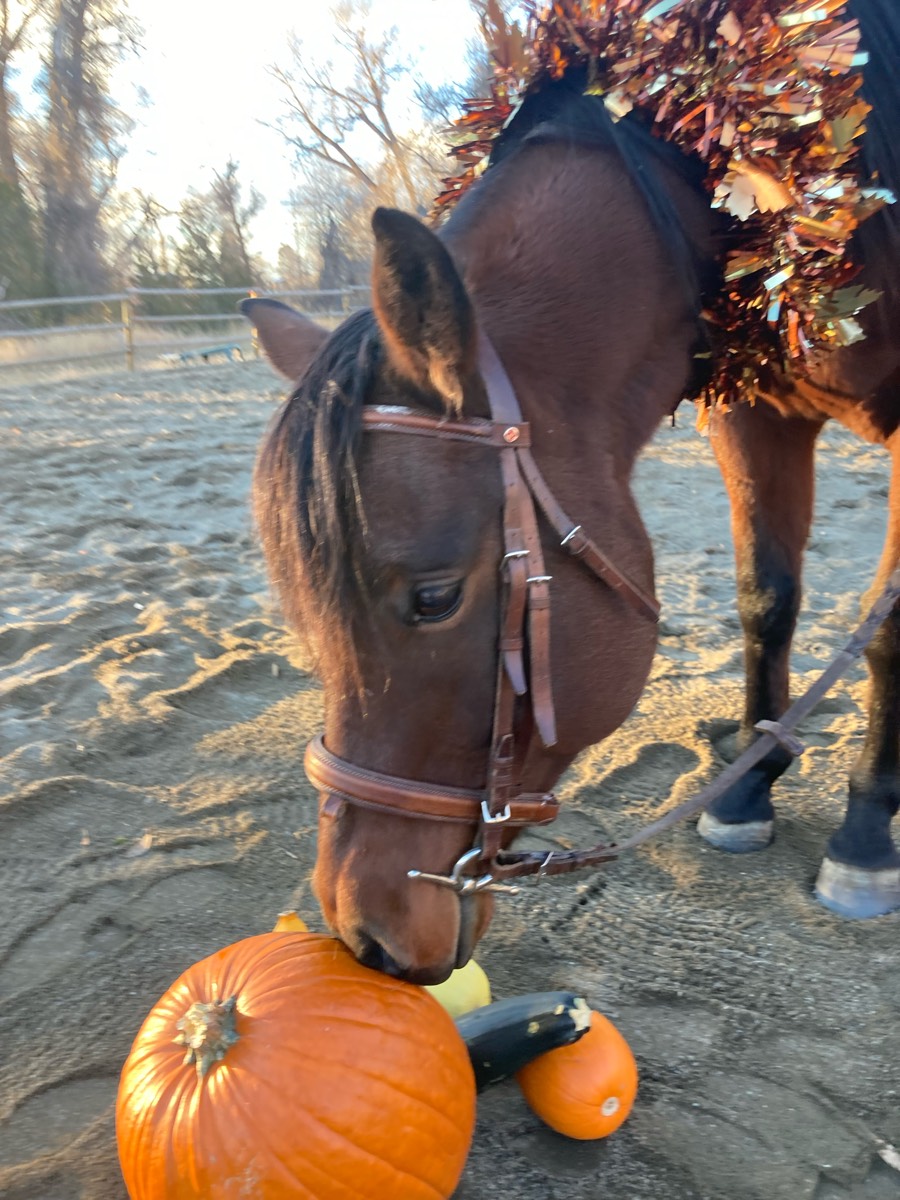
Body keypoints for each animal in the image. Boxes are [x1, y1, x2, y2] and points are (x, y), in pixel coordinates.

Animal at [246, 0, 900, 984]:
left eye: (433, 598)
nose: (367, 934)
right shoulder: (755, 414)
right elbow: (767, 599)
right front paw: (747, 787)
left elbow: (886, 634)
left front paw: (865, 835)